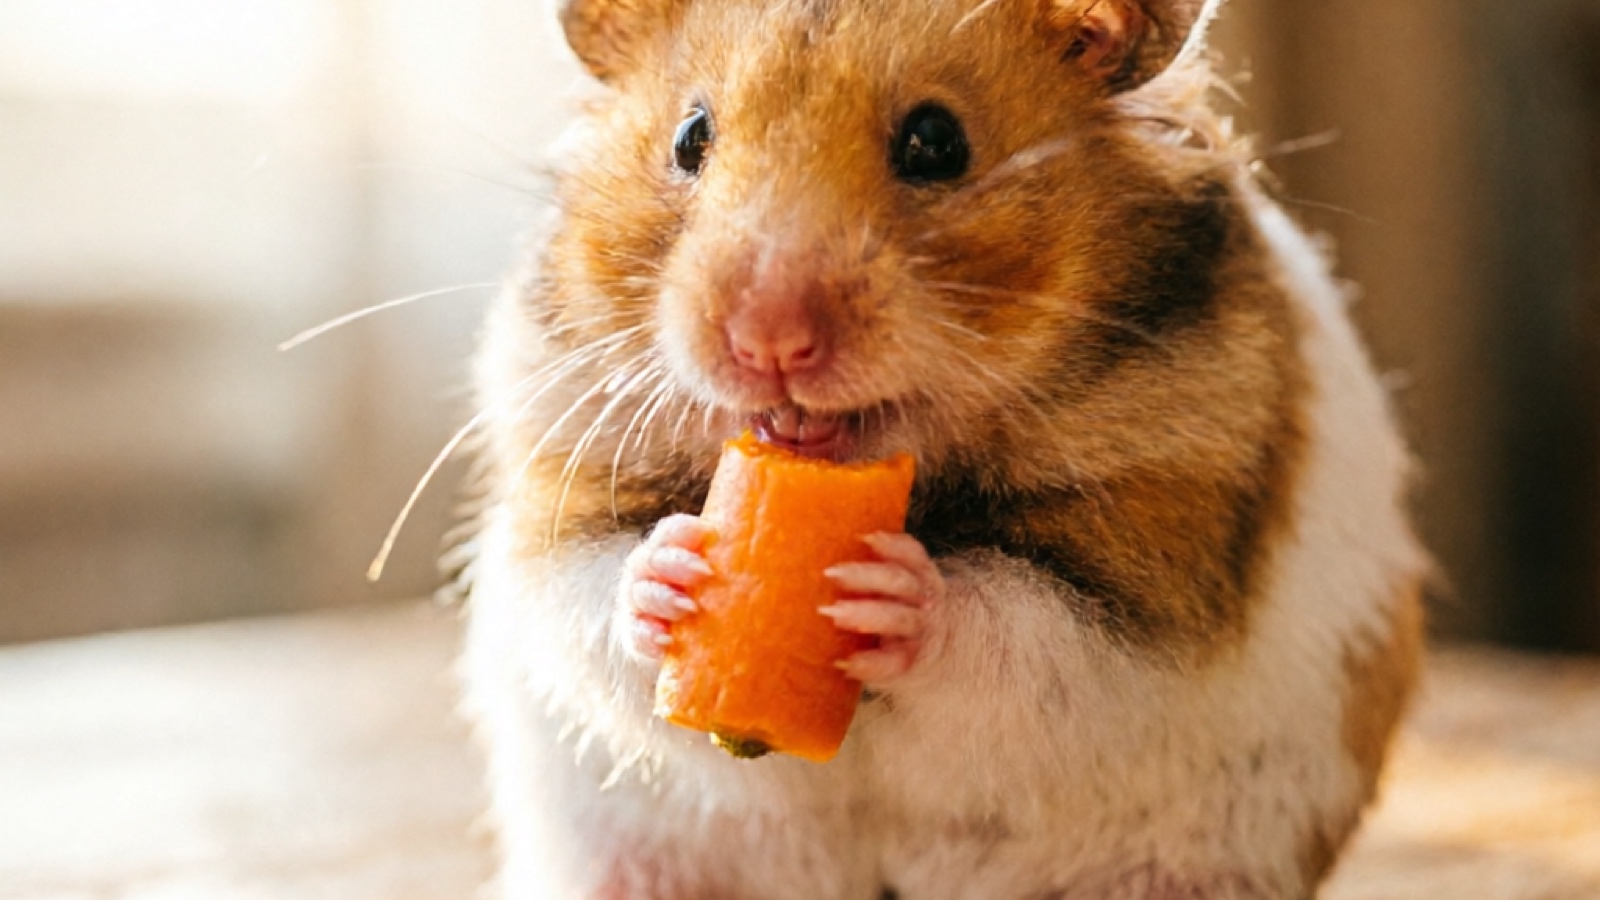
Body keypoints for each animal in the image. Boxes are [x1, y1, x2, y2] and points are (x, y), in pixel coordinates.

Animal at [457, 0, 1427, 897]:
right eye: (691, 138)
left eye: (935, 143)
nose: (768, 343)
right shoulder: (562, 474)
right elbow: (585, 591)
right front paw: (674, 572)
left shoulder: (1155, 568)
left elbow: (1028, 633)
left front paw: (894, 594)